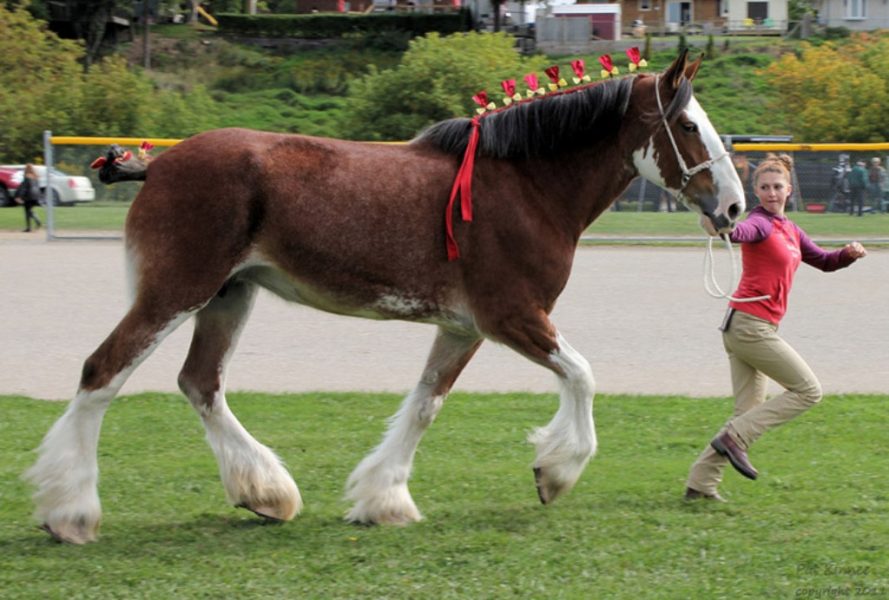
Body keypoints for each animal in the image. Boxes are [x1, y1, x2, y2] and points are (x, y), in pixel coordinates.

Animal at [26, 51, 744, 544]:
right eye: (686, 125)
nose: (735, 207)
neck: (524, 185)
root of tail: (161, 163)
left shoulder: (463, 328)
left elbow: (425, 405)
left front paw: (383, 500)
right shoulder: (512, 317)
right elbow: (584, 375)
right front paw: (555, 471)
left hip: (228, 297)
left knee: (200, 383)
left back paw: (264, 492)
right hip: (176, 292)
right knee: (102, 372)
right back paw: (70, 511)